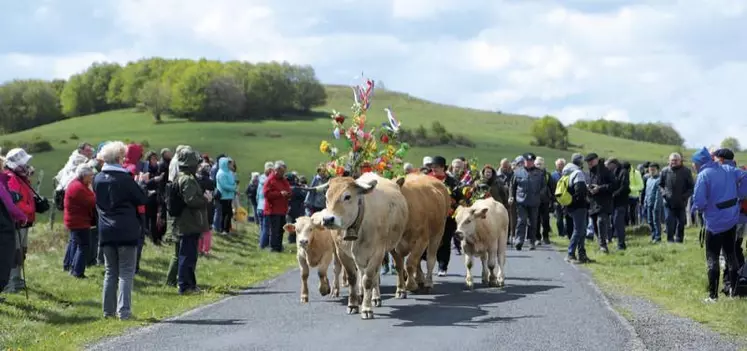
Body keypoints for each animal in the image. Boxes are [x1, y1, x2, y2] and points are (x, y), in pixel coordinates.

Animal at [312, 174, 410, 322]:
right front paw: (353, 305)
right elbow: (353, 277)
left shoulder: (377, 252)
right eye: (327, 197)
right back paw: (370, 297)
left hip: (394, 246)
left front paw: (366, 309)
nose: (328, 219)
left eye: (347, 196)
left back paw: (398, 291)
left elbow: (368, 280)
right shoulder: (342, 253)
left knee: (397, 267)